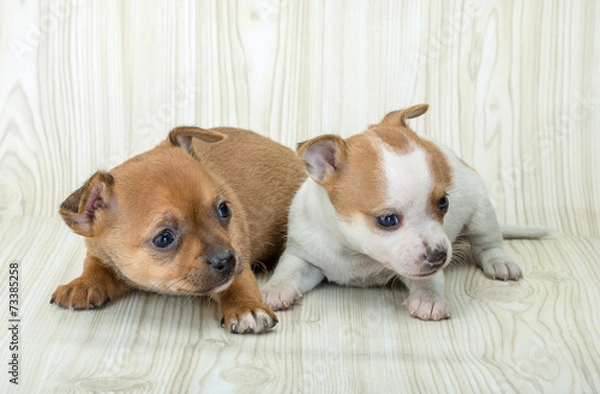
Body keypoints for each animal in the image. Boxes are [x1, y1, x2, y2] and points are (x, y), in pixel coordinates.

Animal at [51, 127, 304, 334]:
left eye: (224, 210)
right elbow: (93, 266)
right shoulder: (100, 253)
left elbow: (239, 283)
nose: (227, 259)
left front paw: (247, 308)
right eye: (164, 238)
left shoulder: (238, 250)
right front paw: (82, 284)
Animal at [262, 104, 548, 320]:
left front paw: (429, 299)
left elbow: (429, 280)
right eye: (387, 220)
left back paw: (499, 261)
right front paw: (275, 289)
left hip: (481, 215)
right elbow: (287, 272)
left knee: (488, 244)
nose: (440, 255)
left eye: (443, 202)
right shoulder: (303, 257)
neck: (357, 253)